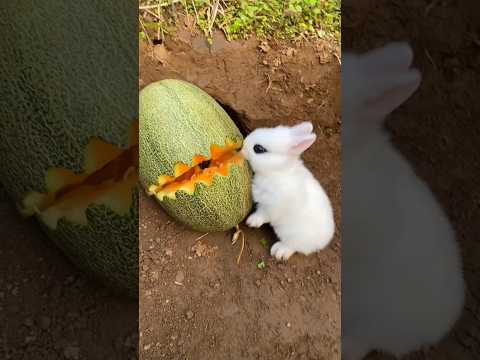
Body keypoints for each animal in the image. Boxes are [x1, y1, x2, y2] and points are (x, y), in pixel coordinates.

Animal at [239, 122, 334, 260]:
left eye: (258, 149)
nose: (241, 148)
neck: (277, 171)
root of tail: (324, 241)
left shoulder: (272, 206)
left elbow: (262, 215)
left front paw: (252, 221)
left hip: (293, 236)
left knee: (294, 246)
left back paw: (279, 251)